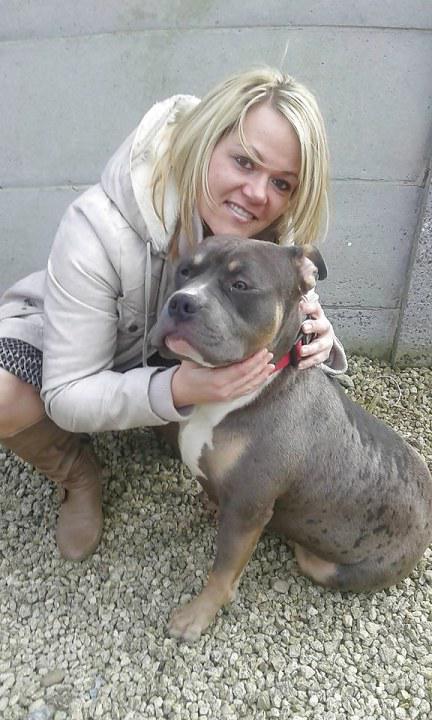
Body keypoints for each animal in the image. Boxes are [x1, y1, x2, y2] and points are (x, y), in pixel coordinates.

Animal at [151, 236, 432, 641]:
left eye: (240, 285)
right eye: (185, 271)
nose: (181, 301)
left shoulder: (248, 509)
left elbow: (222, 571)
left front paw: (197, 615)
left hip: (324, 562)